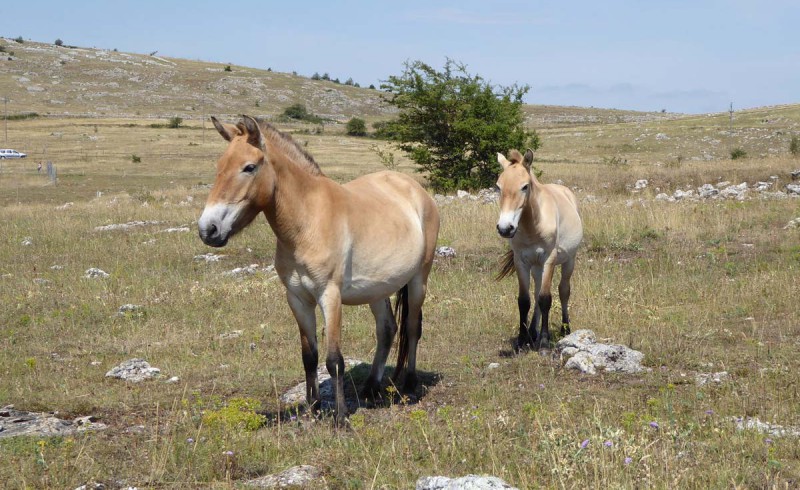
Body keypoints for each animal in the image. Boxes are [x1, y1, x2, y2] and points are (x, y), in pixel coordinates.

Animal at [198, 115, 440, 424]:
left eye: (249, 167)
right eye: (219, 167)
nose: (208, 230)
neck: (307, 221)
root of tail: (416, 190)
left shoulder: (330, 295)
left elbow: (334, 360)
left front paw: (340, 417)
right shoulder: (298, 299)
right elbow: (309, 355)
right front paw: (313, 407)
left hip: (420, 278)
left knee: (412, 327)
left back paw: (409, 385)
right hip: (378, 288)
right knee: (387, 329)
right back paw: (371, 388)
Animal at [494, 149, 580, 352]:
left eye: (525, 187)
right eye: (498, 187)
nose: (505, 228)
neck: (532, 226)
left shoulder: (549, 260)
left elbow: (546, 299)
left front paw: (544, 343)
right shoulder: (521, 262)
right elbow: (524, 300)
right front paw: (522, 340)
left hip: (568, 261)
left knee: (563, 291)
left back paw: (565, 329)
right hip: (536, 267)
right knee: (536, 293)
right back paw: (533, 332)